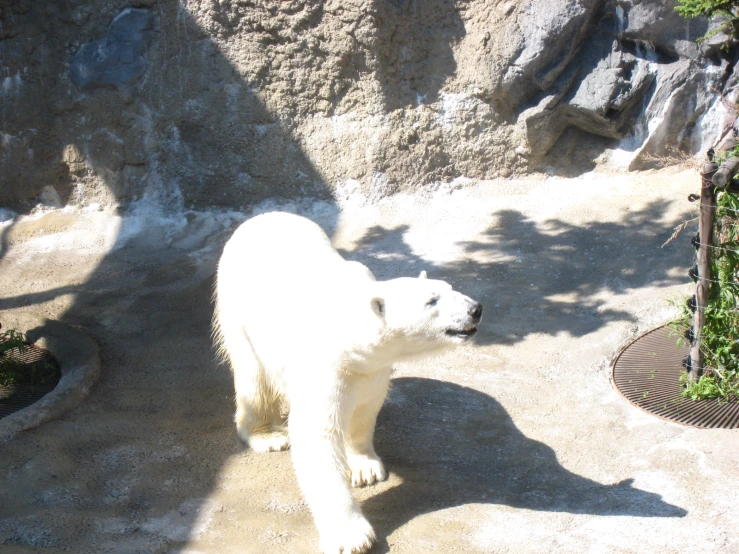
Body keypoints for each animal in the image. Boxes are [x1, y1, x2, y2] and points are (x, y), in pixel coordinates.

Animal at [211, 211, 482, 552]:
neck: (345, 329)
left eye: (450, 287)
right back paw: (267, 436)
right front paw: (351, 536)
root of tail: (261, 217)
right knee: (254, 378)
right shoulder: (323, 366)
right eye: (431, 301)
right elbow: (317, 436)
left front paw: (366, 468)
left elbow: (364, 411)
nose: (475, 309)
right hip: (237, 311)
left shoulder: (370, 371)